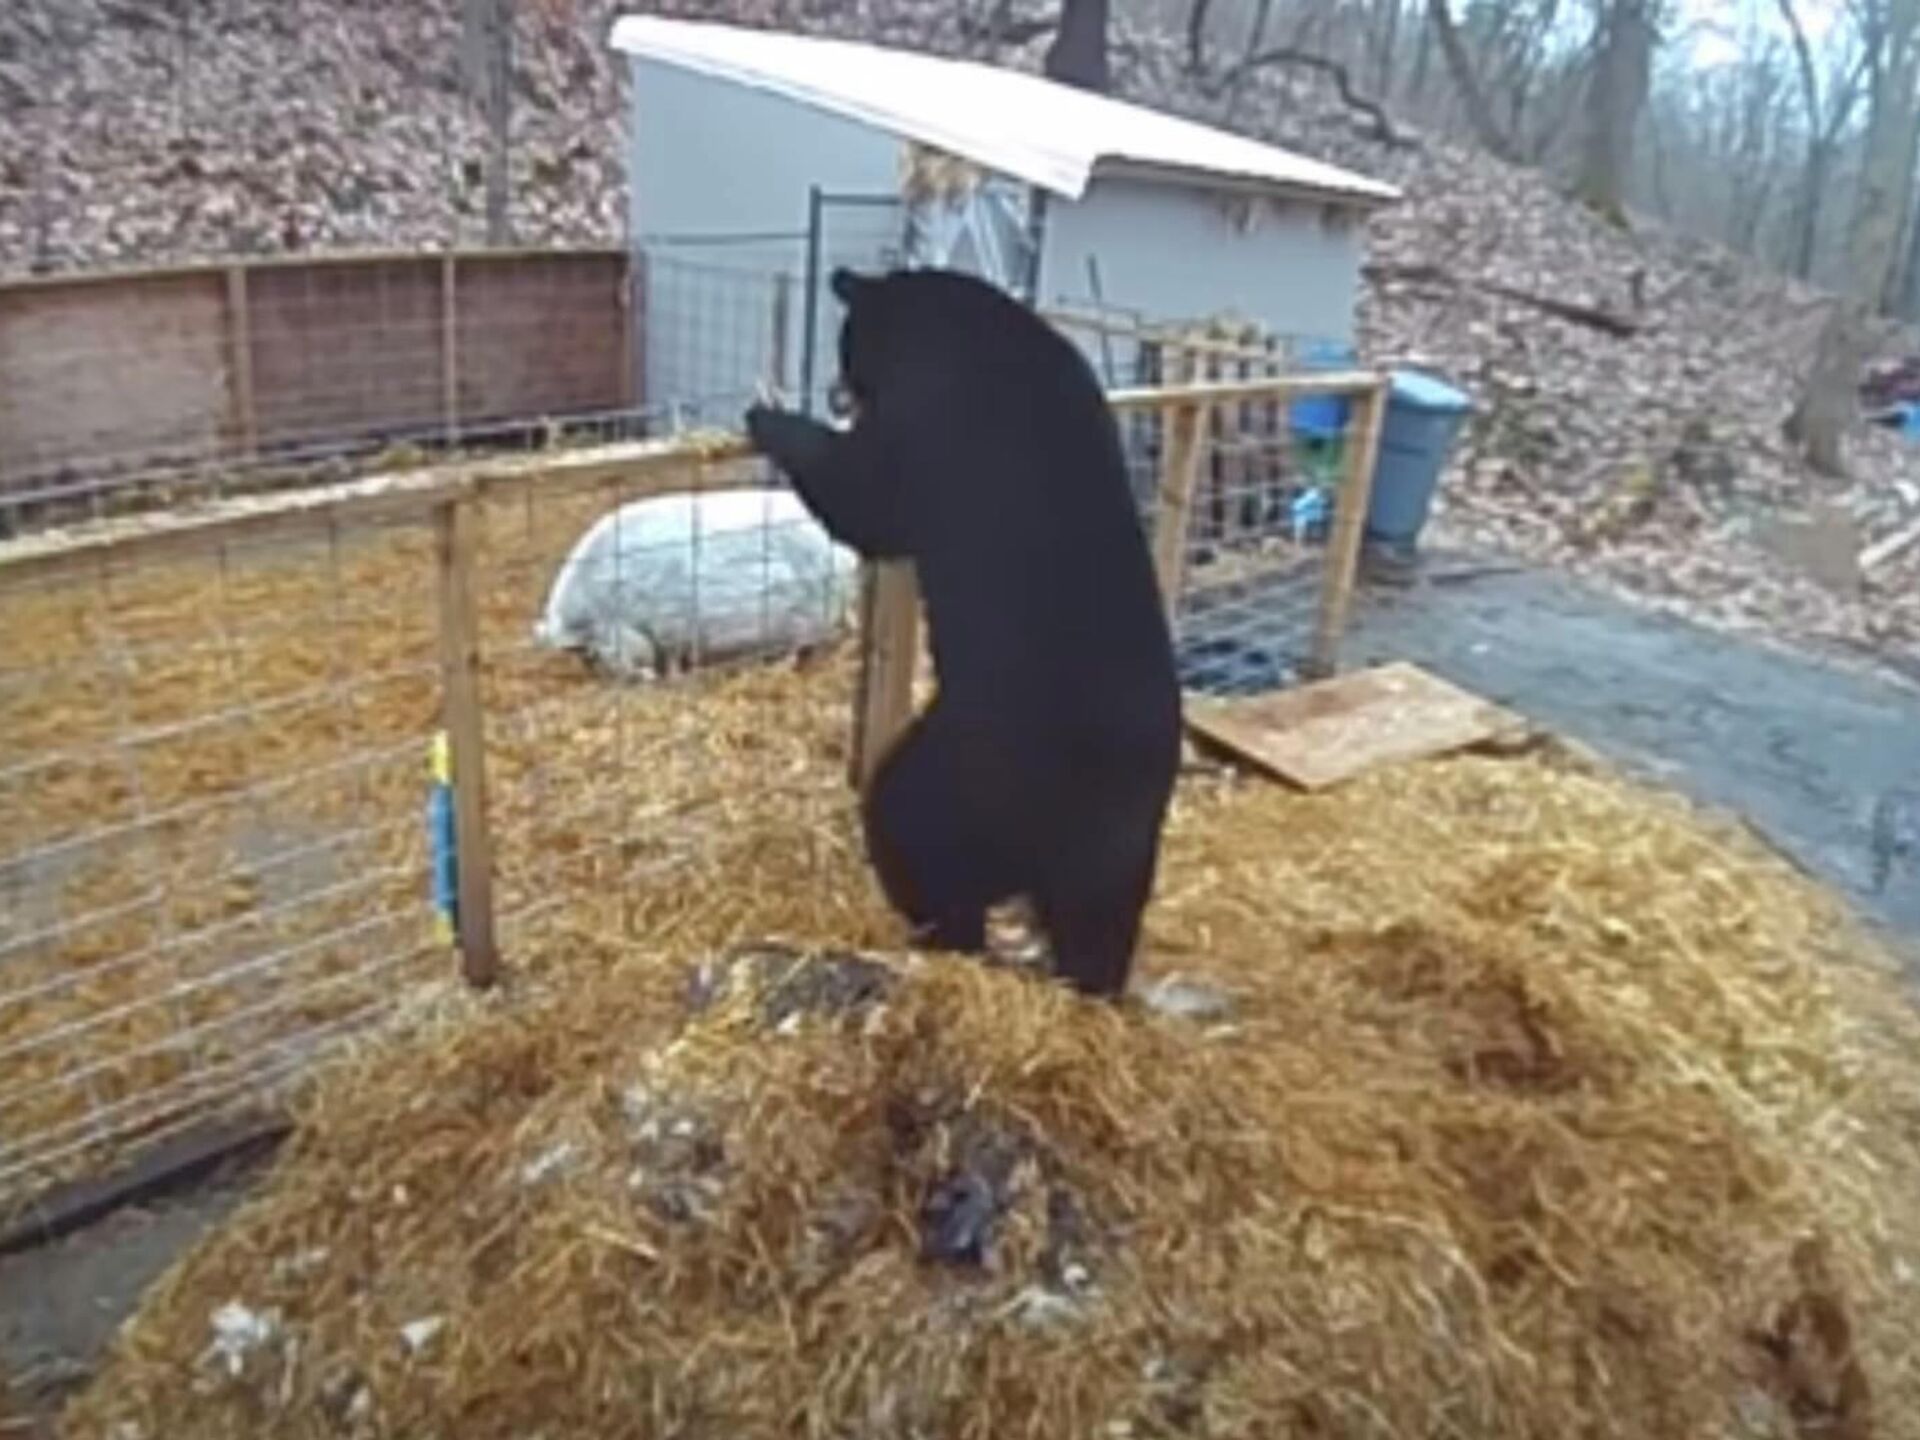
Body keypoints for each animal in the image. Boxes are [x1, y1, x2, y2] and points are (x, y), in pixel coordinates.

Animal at [741, 264, 1175, 998]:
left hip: (966, 774)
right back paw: (1089, 984)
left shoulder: (935, 412)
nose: (837, 387)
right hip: (1124, 832)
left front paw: (768, 414)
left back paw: (940, 935)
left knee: (911, 831)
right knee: (1101, 916)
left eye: (845, 344)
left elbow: (867, 499)